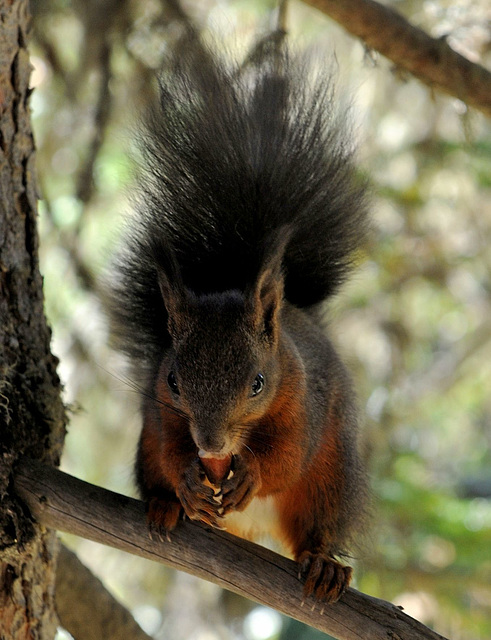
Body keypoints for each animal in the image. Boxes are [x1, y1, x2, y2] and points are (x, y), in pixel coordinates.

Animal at [106, 26, 368, 604]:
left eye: (257, 384)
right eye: (175, 381)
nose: (211, 445)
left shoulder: (304, 403)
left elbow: (287, 455)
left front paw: (252, 472)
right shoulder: (161, 412)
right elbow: (169, 445)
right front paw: (185, 476)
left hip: (334, 475)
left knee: (317, 520)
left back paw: (323, 564)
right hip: (143, 452)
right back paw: (166, 505)